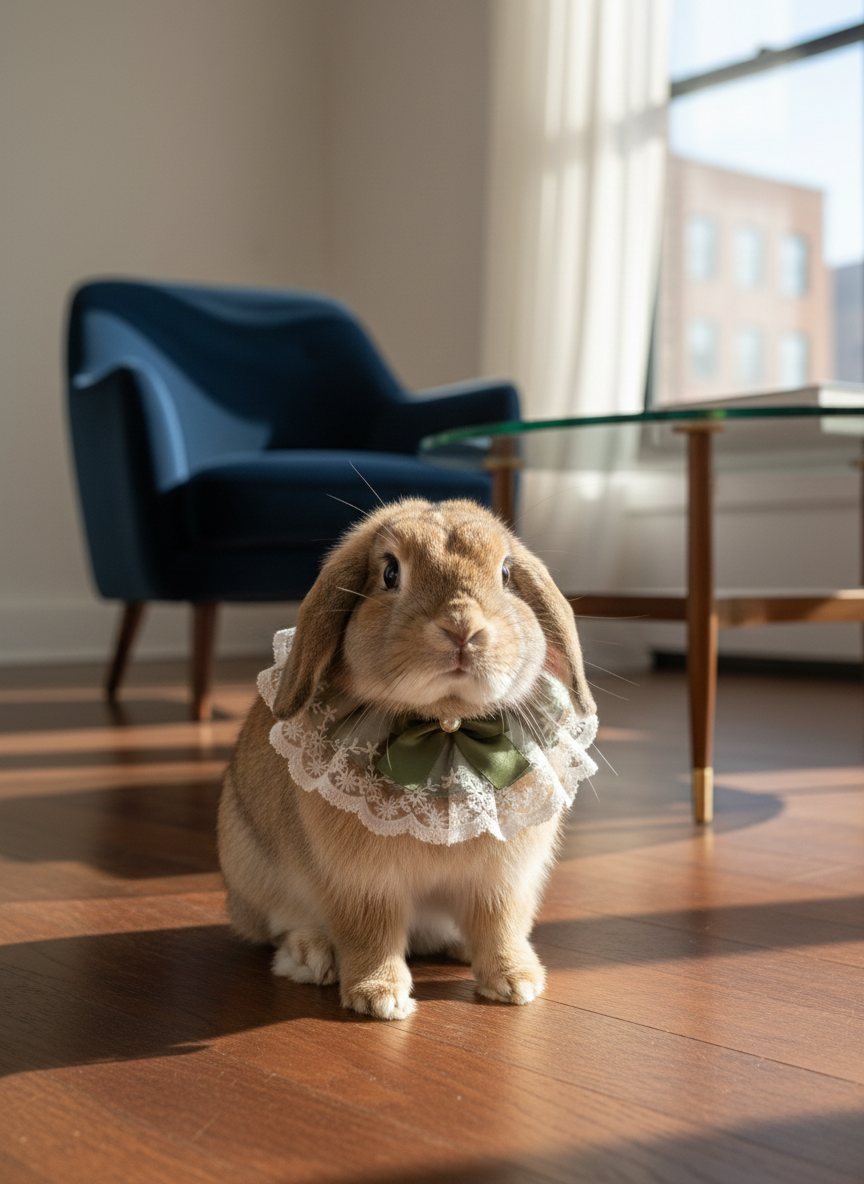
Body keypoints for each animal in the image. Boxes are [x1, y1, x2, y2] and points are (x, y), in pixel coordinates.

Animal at [218, 498, 597, 1020]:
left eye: (505, 573)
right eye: (390, 572)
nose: (462, 629)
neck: (446, 728)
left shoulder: (503, 880)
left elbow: (500, 925)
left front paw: (517, 984)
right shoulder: (362, 883)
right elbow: (370, 934)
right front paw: (379, 999)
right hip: (251, 869)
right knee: (281, 927)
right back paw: (311, 957)